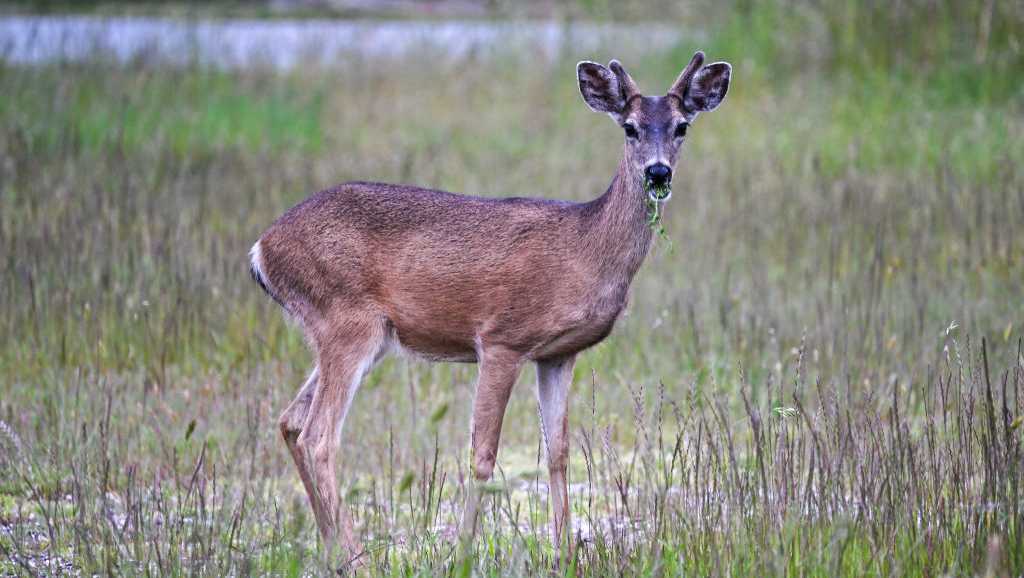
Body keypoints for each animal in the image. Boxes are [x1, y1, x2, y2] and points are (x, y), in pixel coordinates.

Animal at [247, 50, 729, 565]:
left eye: (682, 126)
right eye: (630, 127)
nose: (658, 173)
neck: (585, 247)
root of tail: (262, 249)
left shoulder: (558, 353)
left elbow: (557, 451)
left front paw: (564, 552)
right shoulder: (502, 338)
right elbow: (483, 455)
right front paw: (461, 552)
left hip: (357, 336)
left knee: (290, 421)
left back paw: (331, 546)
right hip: (346, 321)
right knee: (319, 434)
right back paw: (357, 557)